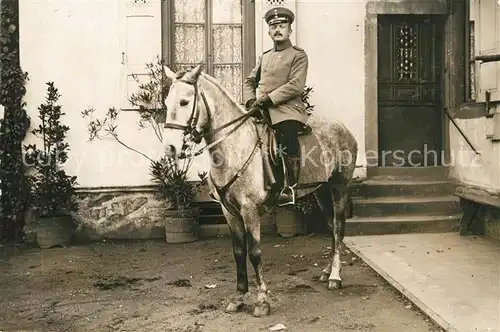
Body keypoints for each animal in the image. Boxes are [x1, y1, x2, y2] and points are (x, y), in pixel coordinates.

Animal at [162, 65, 358, 316]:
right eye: (166, 102)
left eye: (185, 102)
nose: (170, 148)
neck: (233, 148)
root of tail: (343, 128)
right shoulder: (229, 212)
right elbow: (238, 252)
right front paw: (238, 297)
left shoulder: (249, 210)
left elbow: (254, 253)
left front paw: (262, 300)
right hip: (321, 192)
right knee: (332, 228)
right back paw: (327, 272)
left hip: (339, 188)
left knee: (338, 229)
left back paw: (335, 276)